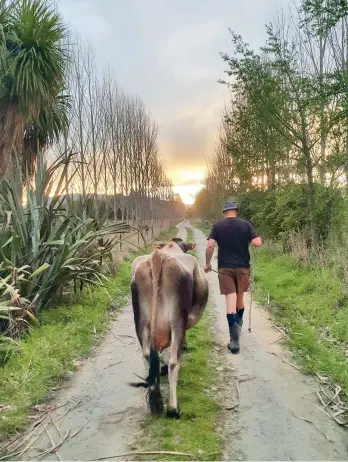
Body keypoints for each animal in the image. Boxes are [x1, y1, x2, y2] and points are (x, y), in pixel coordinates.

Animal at [129, 238, 208, 418]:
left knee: (146, 355)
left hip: (141, 321)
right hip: (177, 319)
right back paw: (172, 408)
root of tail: (158, 256)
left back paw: (155, 400)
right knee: (173, 361)